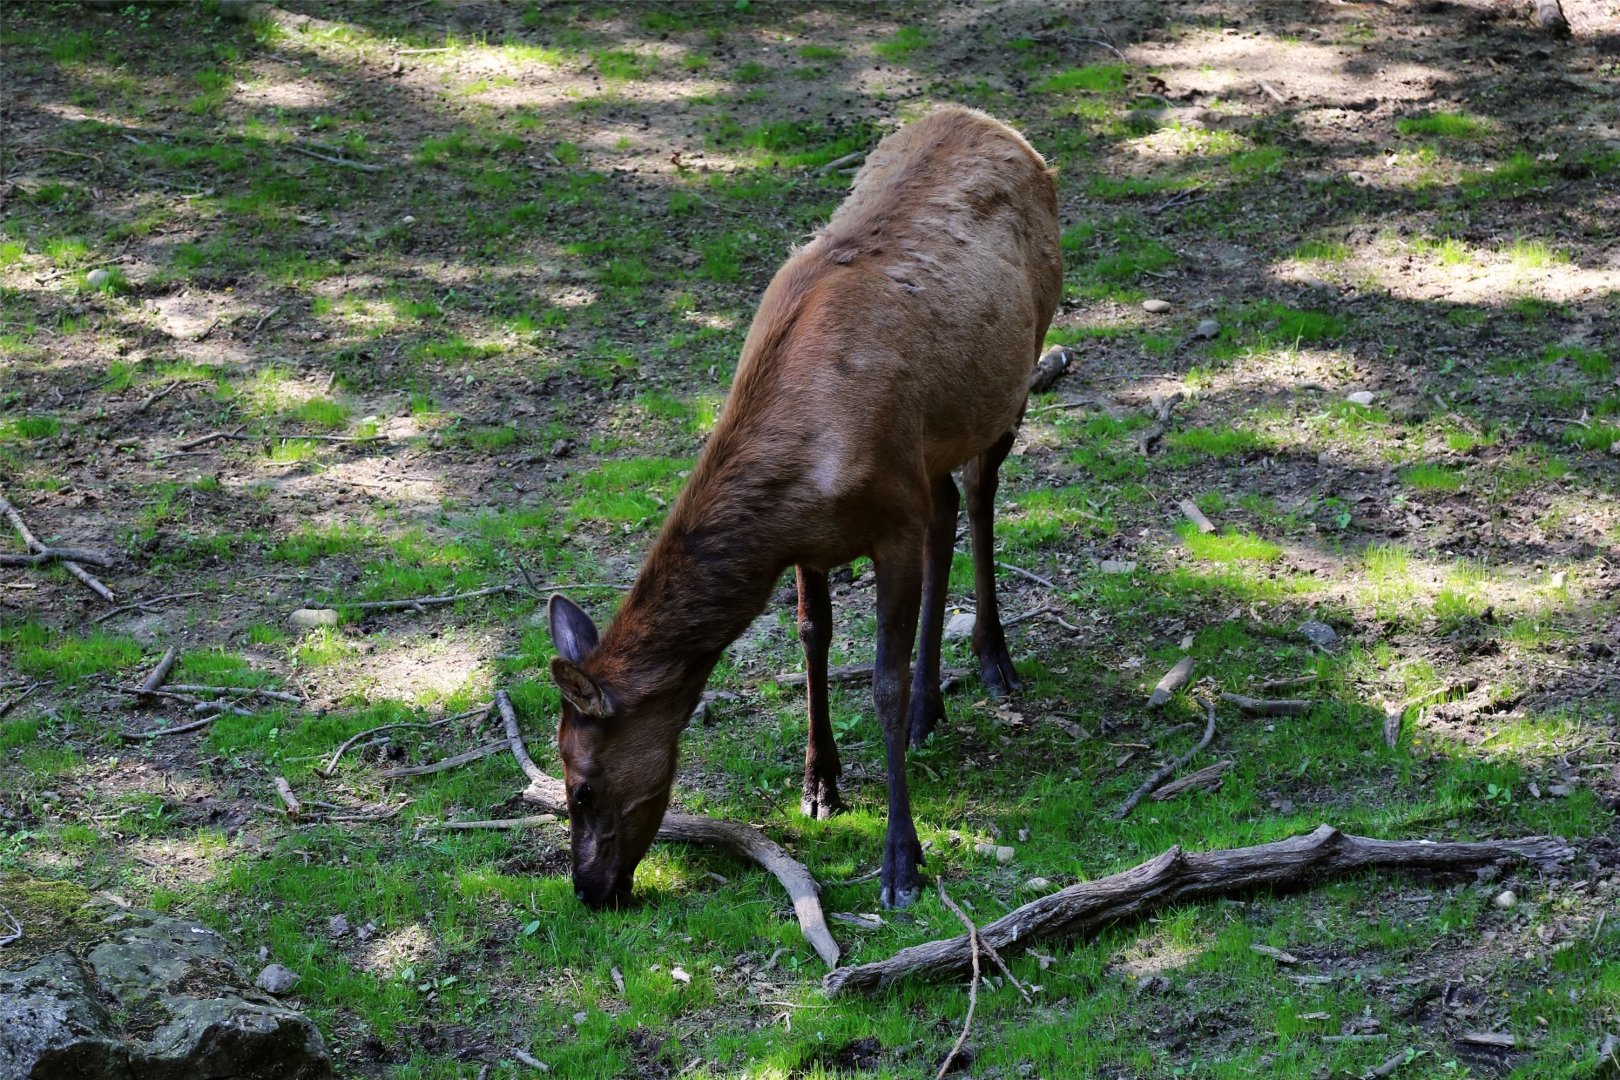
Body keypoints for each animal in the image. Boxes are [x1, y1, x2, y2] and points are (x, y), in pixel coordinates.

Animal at [546, 105, 1062, 911]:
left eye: (582, 787)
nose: (591, 889)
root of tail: (1000, 128)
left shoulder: (891, 521)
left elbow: (881, 681)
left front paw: (901, 862)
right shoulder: (811, 541)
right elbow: (812, 637)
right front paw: (820, 782)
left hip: (1016, 371)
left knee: (980, 494)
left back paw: (991, 659)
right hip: (931, 446)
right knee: (949, 503)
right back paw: (931, 708)